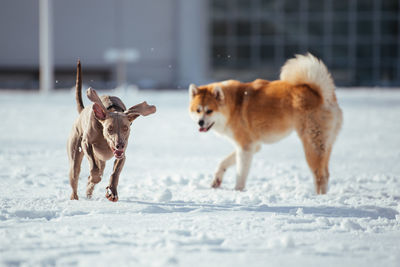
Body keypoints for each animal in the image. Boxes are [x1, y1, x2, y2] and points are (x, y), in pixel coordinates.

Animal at [67, 60, 156, 202]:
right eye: (109, 128)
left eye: (126, 127)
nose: (119, 145)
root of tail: (81, 112)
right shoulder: (86, 143)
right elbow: (94, 169)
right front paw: (95, 178)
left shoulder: (122, 155)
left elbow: (115, 173)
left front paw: (112, 192)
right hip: (75, 153)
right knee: (76, 175)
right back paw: (75, 197)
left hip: (102, 159)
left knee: (96, 173)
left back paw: (89, 192)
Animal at [189, 53, 342, 195]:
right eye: (198, 110)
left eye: (209, 111)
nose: (200, 122)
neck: (233, 106)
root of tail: (322, 94)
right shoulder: (253, 146)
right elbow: (223, 162)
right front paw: (217, 180)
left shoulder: (245, 146)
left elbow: (241, 173)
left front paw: (238, 190)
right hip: (326, 144)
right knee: (326, 174)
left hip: (312, 145)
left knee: (320, 176)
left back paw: (318, 198)